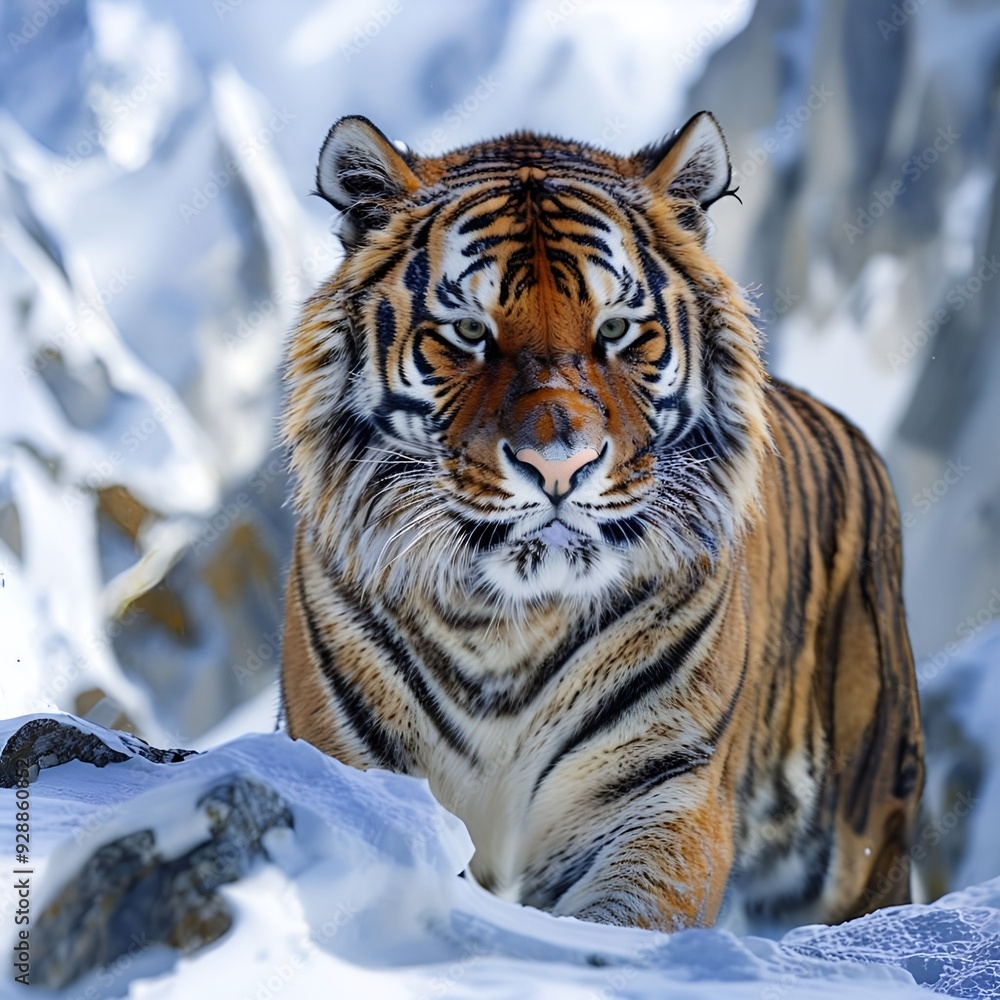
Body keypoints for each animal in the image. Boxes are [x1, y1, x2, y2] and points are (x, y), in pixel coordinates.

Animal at [280, 111, 924, 931]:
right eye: (469, 333)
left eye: (616, 330)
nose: (559, 465)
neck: (507, 626)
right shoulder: (351, 766)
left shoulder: (666, 796)